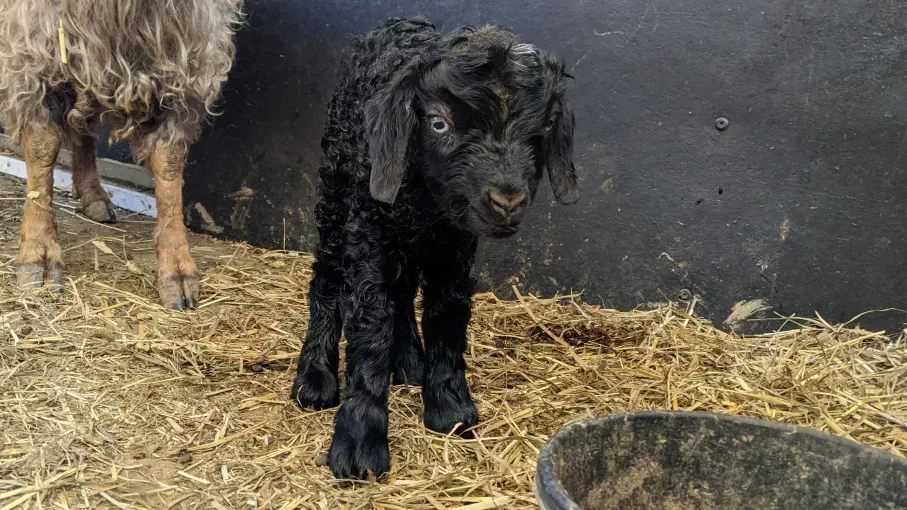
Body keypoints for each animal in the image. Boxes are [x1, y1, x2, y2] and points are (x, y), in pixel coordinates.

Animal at [0, 0, 242, 309]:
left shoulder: (188, 47)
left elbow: (169, 160)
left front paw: (176, 267)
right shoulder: (37, 36)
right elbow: (43, 147)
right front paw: (38, 253)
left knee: (82, 125)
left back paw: (93, 195)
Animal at [291, 17, 578, 480]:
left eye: (542, 130)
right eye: (439, 125)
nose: (507, 201)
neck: (425, 202)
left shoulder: (454, 248)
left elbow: (447, 316)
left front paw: (449, 408)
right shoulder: (369, 230)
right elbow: (370, 326)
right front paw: (359, 444)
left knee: (403, 290)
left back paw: (410, 362)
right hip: (335, 193)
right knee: (327, 280)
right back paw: (315, 377)